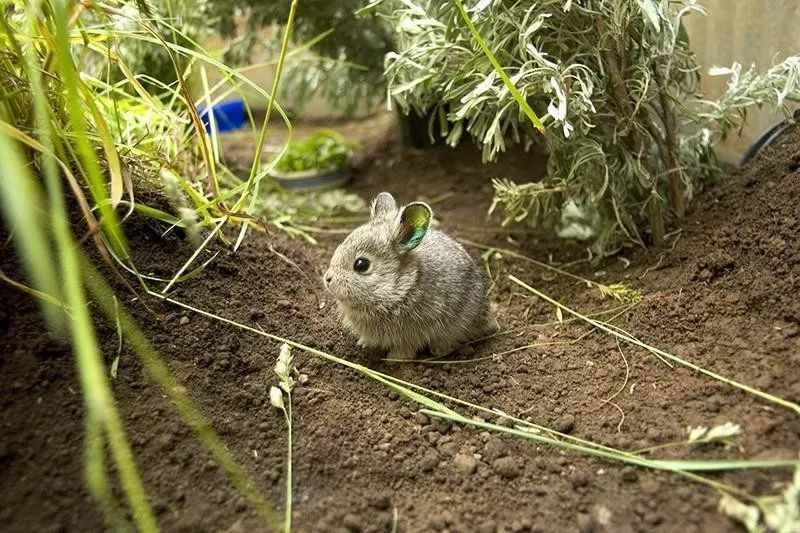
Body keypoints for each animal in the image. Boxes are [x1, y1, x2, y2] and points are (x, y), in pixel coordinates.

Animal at [324, 189, 496, 360]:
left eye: (361, 265)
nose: (327, 279)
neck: (401, 287)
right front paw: (364, 344)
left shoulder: (411, 334)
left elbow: (405, 349)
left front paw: (393, 359)